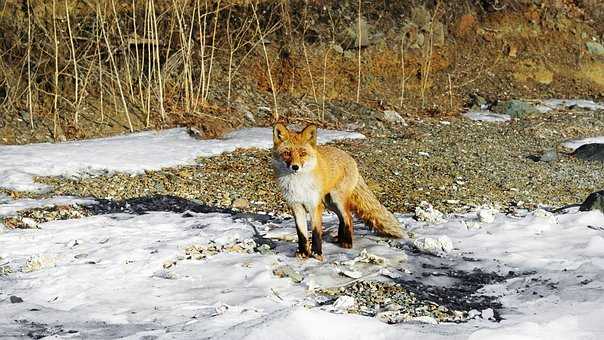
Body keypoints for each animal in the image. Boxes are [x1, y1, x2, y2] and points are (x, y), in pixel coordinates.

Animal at [272, 123, 406, 258]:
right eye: (287, 153)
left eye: (302, 153)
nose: (295, 167)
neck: (298, 184)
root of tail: (351, 158)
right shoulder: (296, 206)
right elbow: (301, 234)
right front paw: (303, 253)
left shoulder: (315, 206)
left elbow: (316, 232)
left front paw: (317, 253)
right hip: (329, 203)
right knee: (342, 218)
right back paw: (340, 239)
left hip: (337, 200)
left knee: (348, 218)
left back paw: (347, 242)